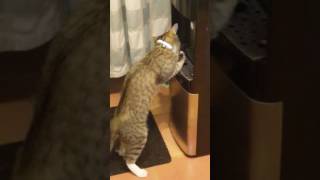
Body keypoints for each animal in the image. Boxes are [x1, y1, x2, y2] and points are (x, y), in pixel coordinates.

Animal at [110, 23, 184, 177]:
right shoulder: (168, 73)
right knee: (128, 160)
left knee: (121, 151)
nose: (182, 47)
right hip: (141, 136)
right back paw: (140, 172)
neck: (161, 46)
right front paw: (181, 56)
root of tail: (116, 123)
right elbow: (176, 66)